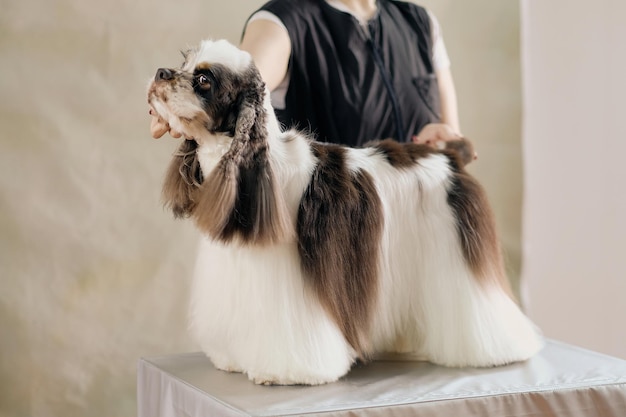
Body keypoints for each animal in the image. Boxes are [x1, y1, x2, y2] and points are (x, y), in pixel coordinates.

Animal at [147, 39, 540, 384]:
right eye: (184, 63)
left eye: (204, 80)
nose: (161, 72)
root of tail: (449, 155)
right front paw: (230, 359)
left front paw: (283, 373)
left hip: (457, 254)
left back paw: (498, 350)